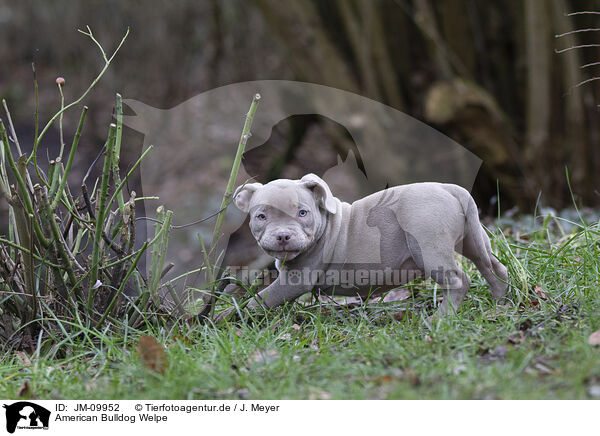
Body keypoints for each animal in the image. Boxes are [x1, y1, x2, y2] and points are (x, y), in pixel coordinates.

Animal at [225, 174, 506, 320]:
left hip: (429, 247)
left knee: (459, 280)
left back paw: (440, 318)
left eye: (302, 213)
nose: (283, 236)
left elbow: (259, 300)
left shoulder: (294, 280)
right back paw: (500, 302)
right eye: (261, 216)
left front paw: (223, 318)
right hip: (474, 239)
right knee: (493, 267)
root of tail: (450, 188)